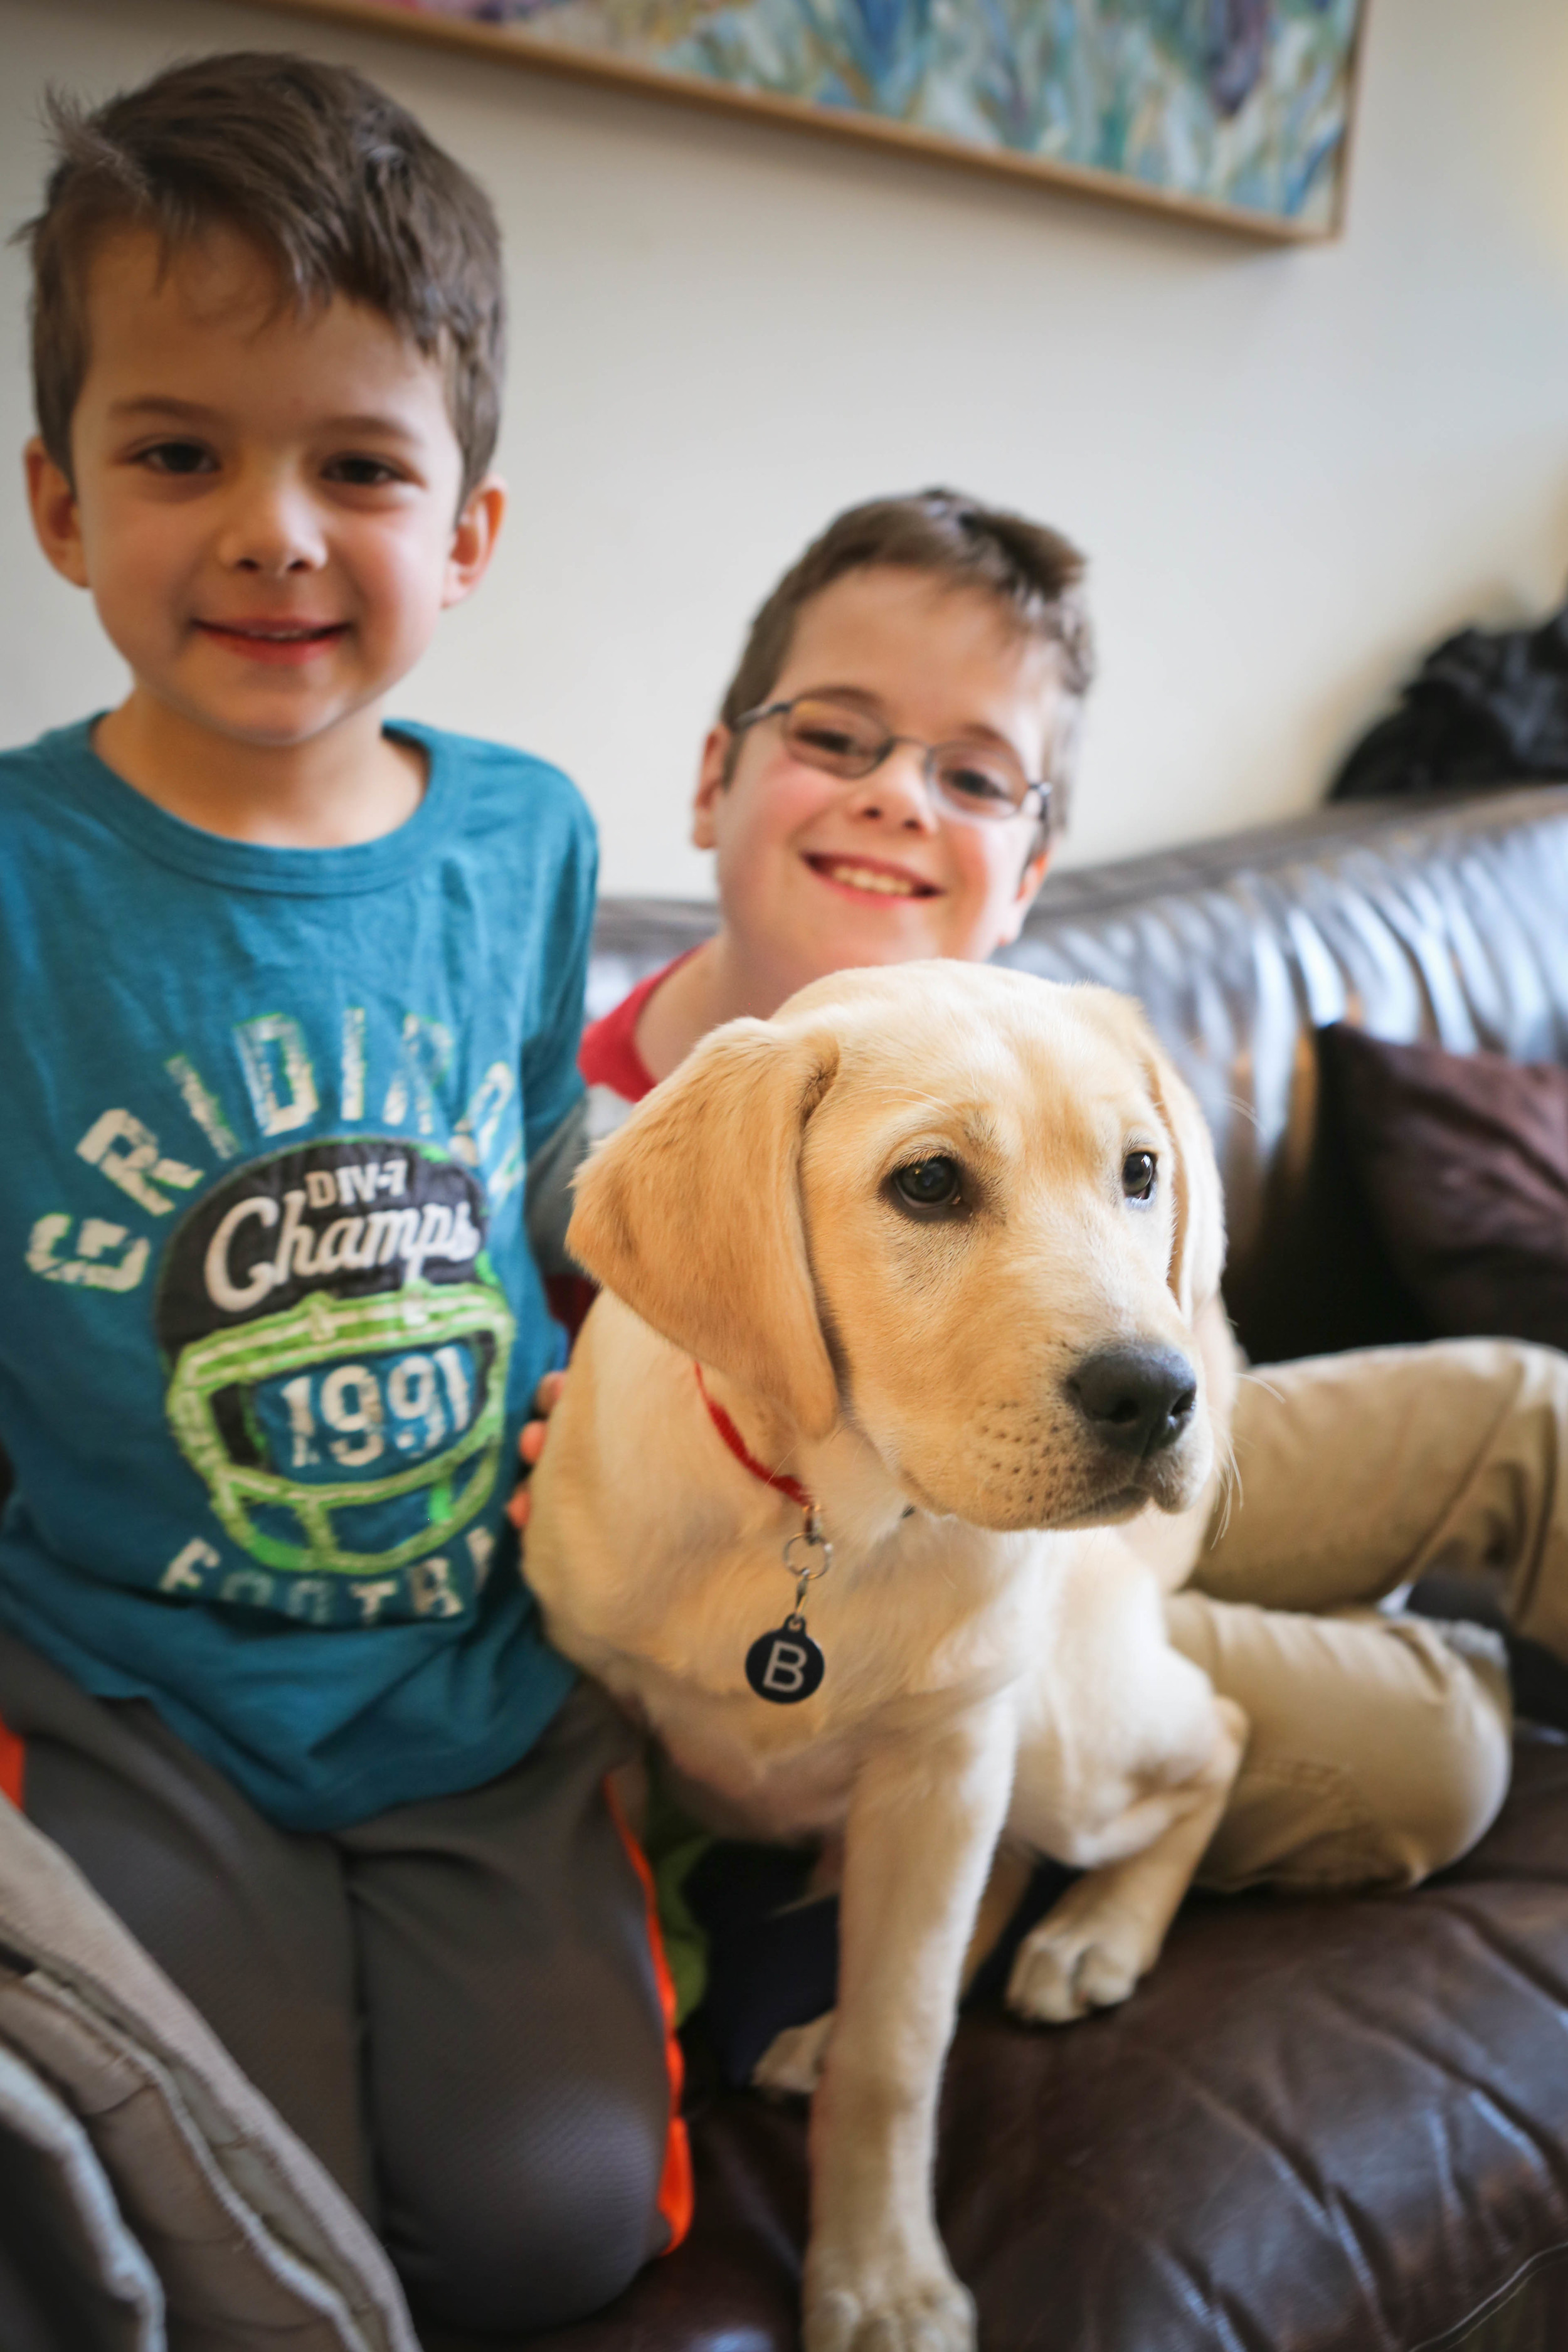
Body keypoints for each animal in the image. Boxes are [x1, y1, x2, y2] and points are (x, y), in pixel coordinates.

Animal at [526, 964, 1251, 2352]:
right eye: (927, 1184)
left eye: (1140, 1172)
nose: (1160, 1394)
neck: (824, 1521)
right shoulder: (604, 1722)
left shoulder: (947, 1758)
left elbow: (899, 2050)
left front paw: (880, 2282)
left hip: (1054, 1732)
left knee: (1221, 1736)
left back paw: (1097, 1933)